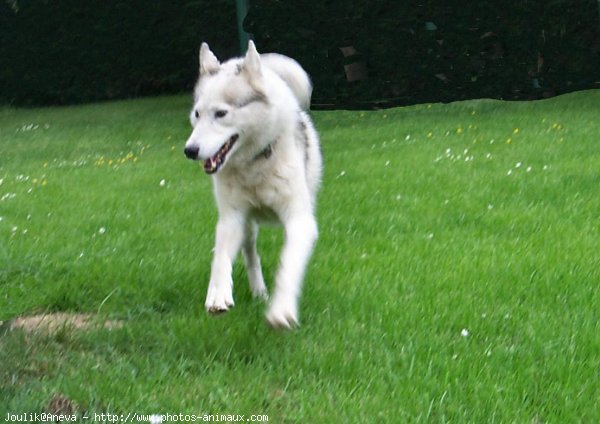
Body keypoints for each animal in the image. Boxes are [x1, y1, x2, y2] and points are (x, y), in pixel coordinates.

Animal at [184, 40, 322, 328]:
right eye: (197, 114)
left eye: (221, 113)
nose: (189, 150)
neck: (255, 163)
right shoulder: (232, 219)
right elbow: (221, 258)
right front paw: (218, 294)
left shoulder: (299, 221)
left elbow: (289, 263)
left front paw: (281, 309)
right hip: (248, 227)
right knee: (250, 256)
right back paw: (258, 291)